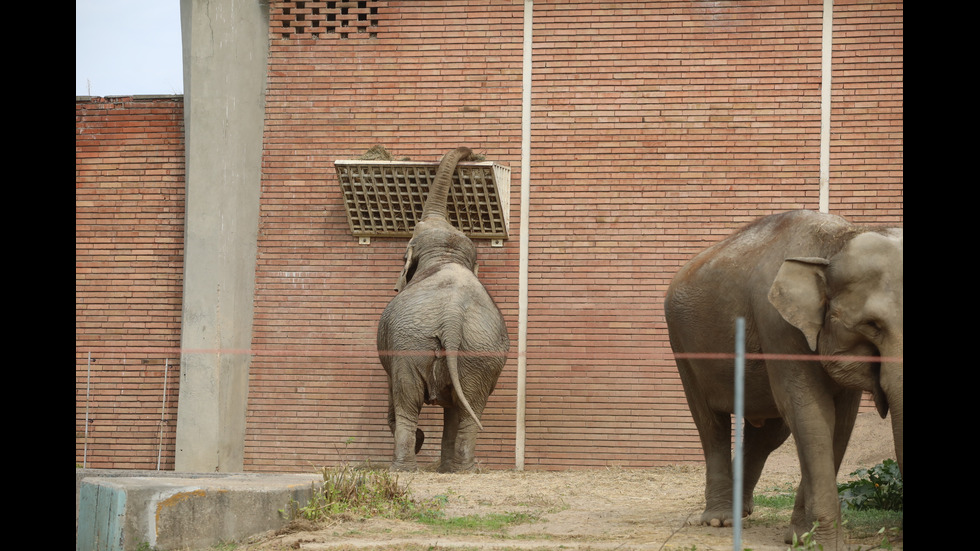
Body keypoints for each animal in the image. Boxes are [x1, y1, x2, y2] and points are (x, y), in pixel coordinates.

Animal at [378, 147, 510, 474]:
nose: (473, 153)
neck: (446, 253)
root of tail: (452, 316)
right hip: (480, 354)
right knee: (468, 410)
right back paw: (461, 470)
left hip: (409, 346)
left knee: (407, 400)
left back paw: (401, 469)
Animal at [668, 209, 904, 548]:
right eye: (872, 325)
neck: (836, 241)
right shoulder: (778, 325)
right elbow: (810, 413)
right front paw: (825, 544)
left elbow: (840, 422)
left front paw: (800, 537)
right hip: (683, 348)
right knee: (711, 424)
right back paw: (720, 519)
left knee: (767, 434)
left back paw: (742, 511)